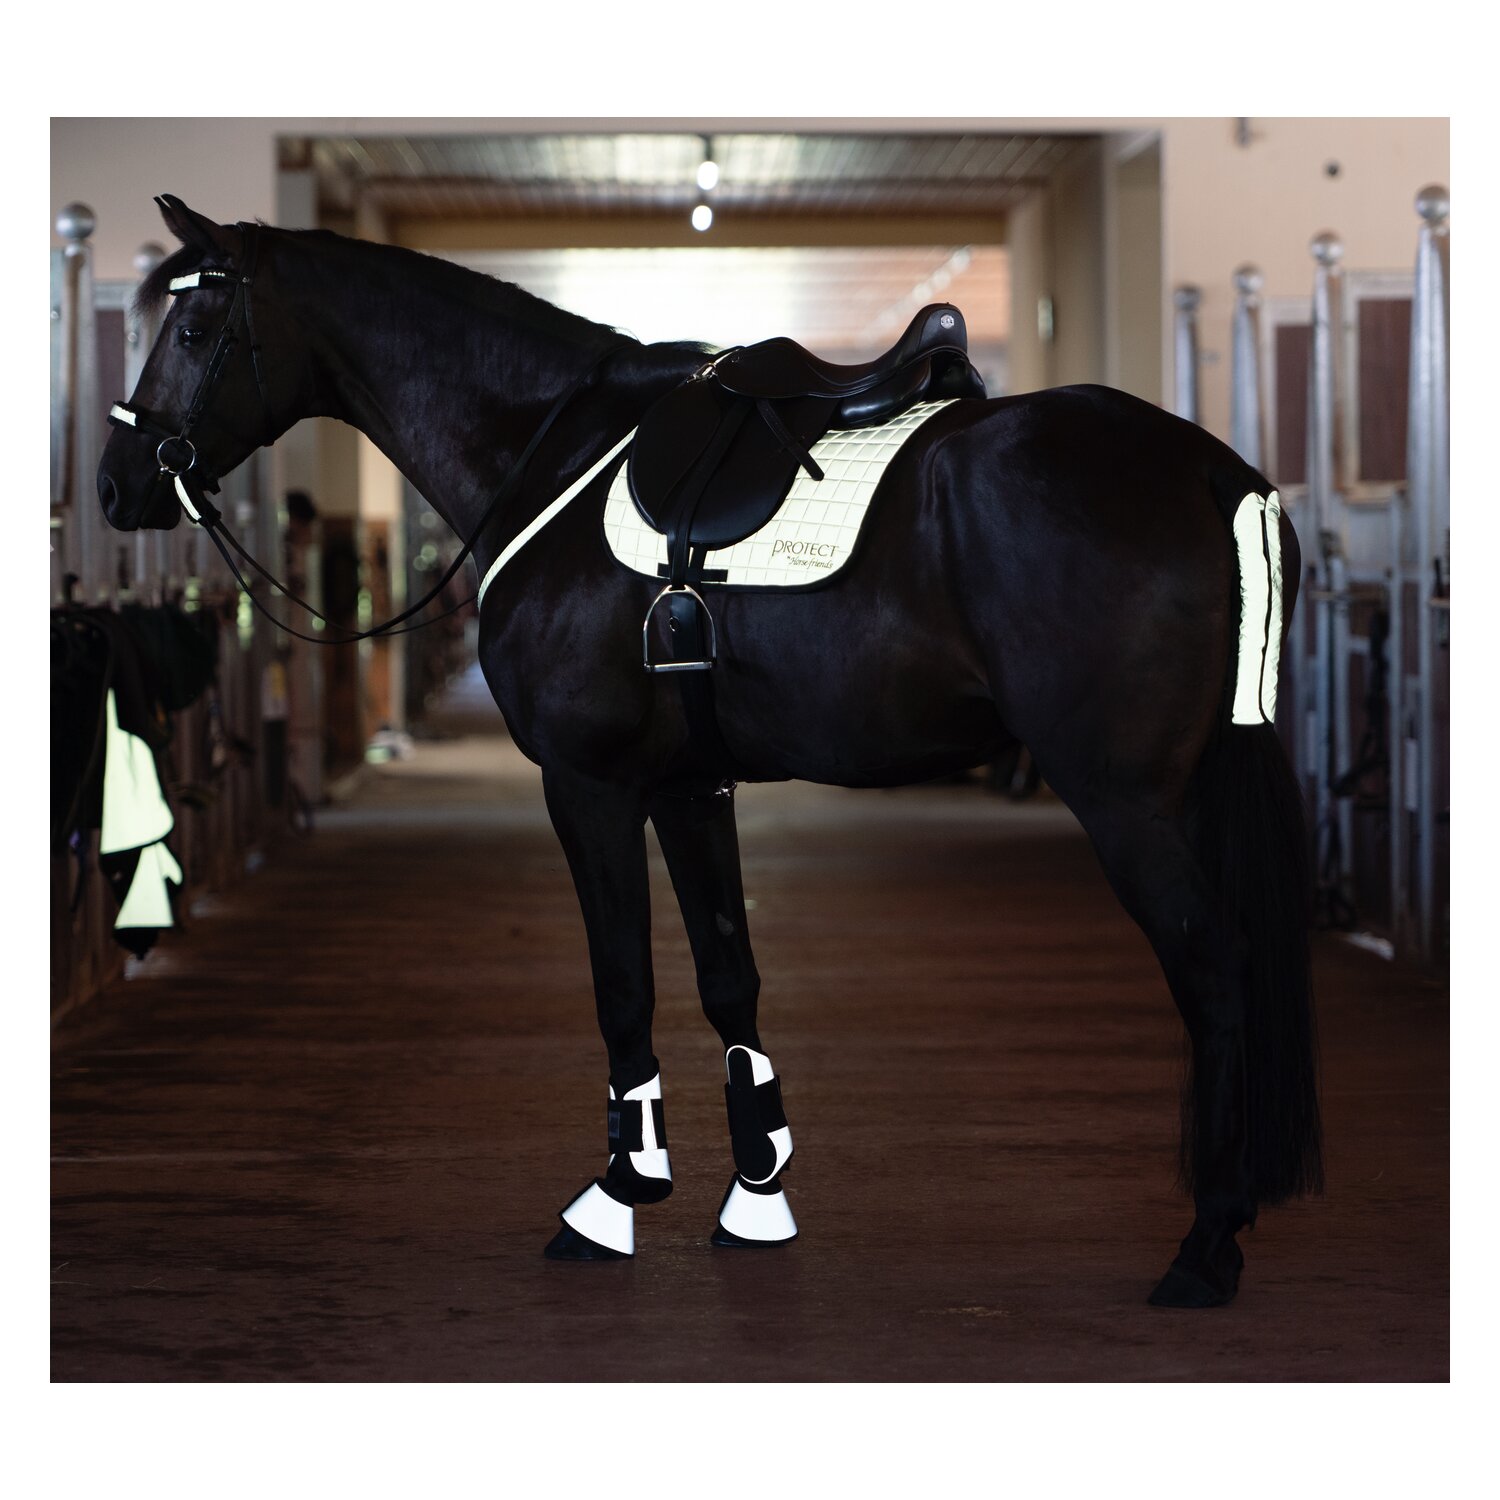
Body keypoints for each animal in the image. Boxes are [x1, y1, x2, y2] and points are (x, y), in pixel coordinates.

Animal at [97, 195, 1322, 1308]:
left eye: (194, 329)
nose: (117, 482)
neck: (551, 450)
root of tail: (1208, 468)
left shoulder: (588, 786)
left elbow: (623, 982)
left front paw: (616, 1195)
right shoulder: (693, 786)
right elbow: (730, 976)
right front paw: (758, 1193)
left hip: (1126, 801)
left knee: (1216, 968)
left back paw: (1208, 1243)